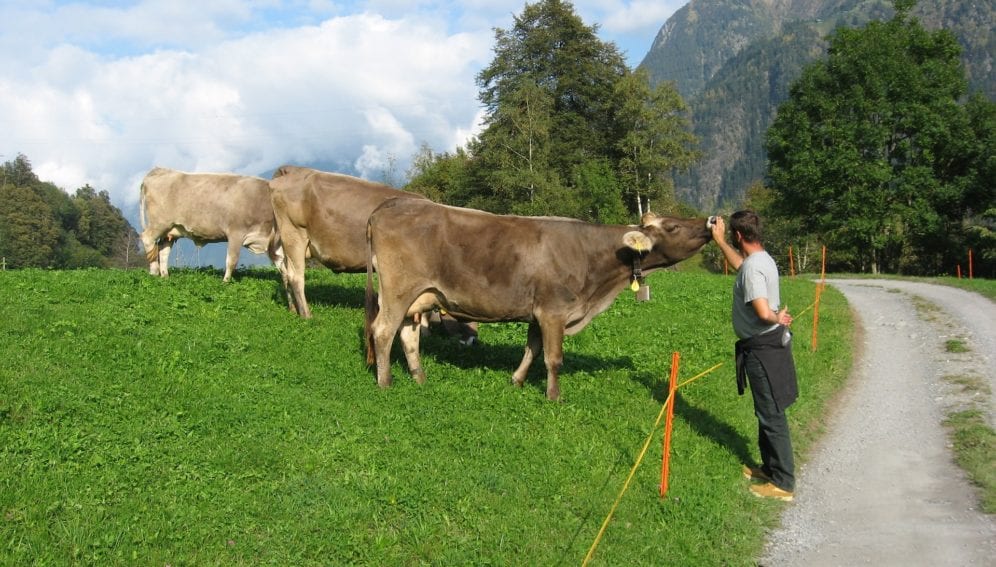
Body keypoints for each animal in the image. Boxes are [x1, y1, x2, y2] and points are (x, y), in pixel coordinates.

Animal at [139, 167, 283, 282]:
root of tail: (160, 170)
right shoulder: (236, 233)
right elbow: (232, 260)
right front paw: (225, 282)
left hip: (170, 230)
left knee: (163, 250)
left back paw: (165, 276)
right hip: (159, 223)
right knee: (147, 239)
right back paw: (154, 271)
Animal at [268, 165, 427, 318]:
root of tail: (293, 169)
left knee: (285, 273)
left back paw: (293, 309)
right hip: (294, 235)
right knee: (296, 277)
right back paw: (306, 315)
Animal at [365, 198, 715, 401]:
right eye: (672, 226)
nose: (710, 222)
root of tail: (391, 204)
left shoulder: (539, 313)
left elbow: (532, 350)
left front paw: (517, 380)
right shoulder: (554, 311)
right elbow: (553, 358)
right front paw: (553, 396)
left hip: (420, 296)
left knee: (408, 334)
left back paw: (419, 377)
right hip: (398, 288)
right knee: (382, 331)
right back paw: (385, 382)